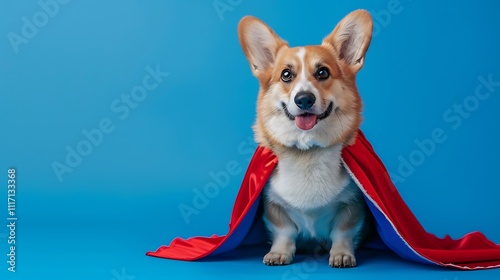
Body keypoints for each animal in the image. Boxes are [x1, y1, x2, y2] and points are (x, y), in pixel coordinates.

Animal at [238, 9, 376, 268]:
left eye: (323, 72)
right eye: (286, 75)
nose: (304, 99)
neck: (307, 150)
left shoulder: (352, 205)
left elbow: (342, 232)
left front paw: (342, 254)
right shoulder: (273, 205)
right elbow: (284, 232)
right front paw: (279, 253)